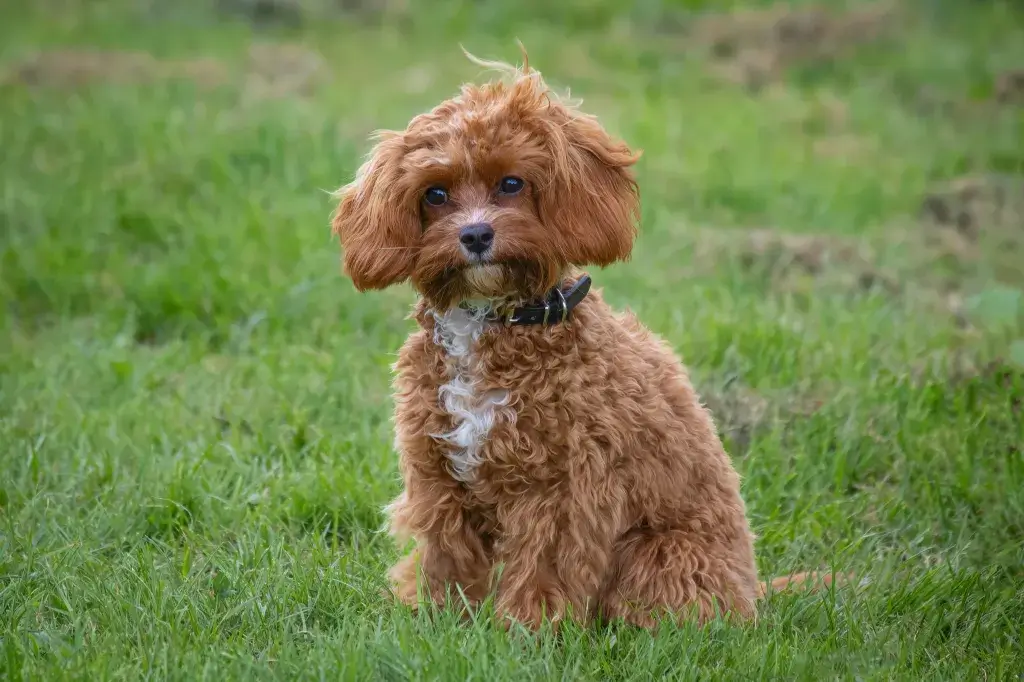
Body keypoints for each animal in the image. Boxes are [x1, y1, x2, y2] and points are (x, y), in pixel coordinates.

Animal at [331, 50, 835, 630]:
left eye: (512, 183)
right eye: (435, 193)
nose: (476, 235)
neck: (495, 321)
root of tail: (753, 596)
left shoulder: (563, 489)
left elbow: (542, 571)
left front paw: (523, 632)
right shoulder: (438, 477)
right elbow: (446, 559)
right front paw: (442, 624)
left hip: (662, 557)